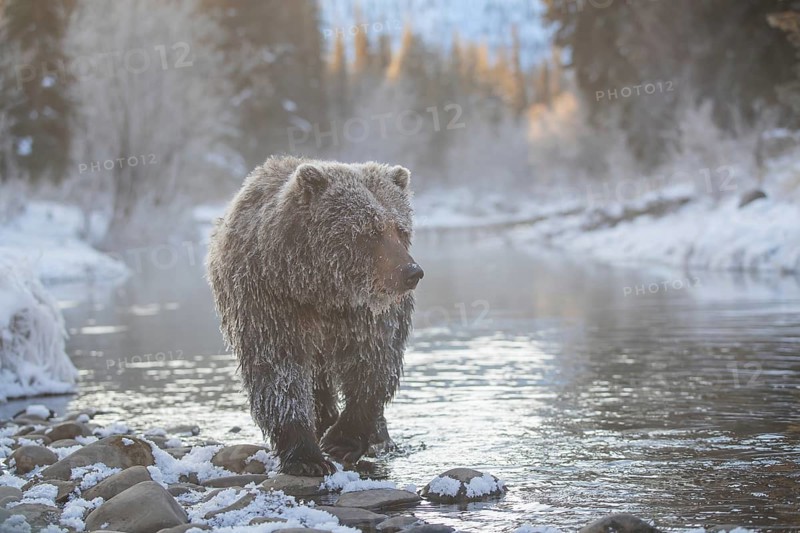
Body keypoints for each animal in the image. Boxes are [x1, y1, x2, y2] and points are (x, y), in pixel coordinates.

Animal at [206, 156, 423, 476]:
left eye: (401, 229)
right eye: (369, 231)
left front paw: (341, 440)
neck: (320, 288)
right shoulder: (269, 300)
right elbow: (280, 374)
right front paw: (307, 457)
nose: (411, 272)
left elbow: (372, 364)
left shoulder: (364, 314)